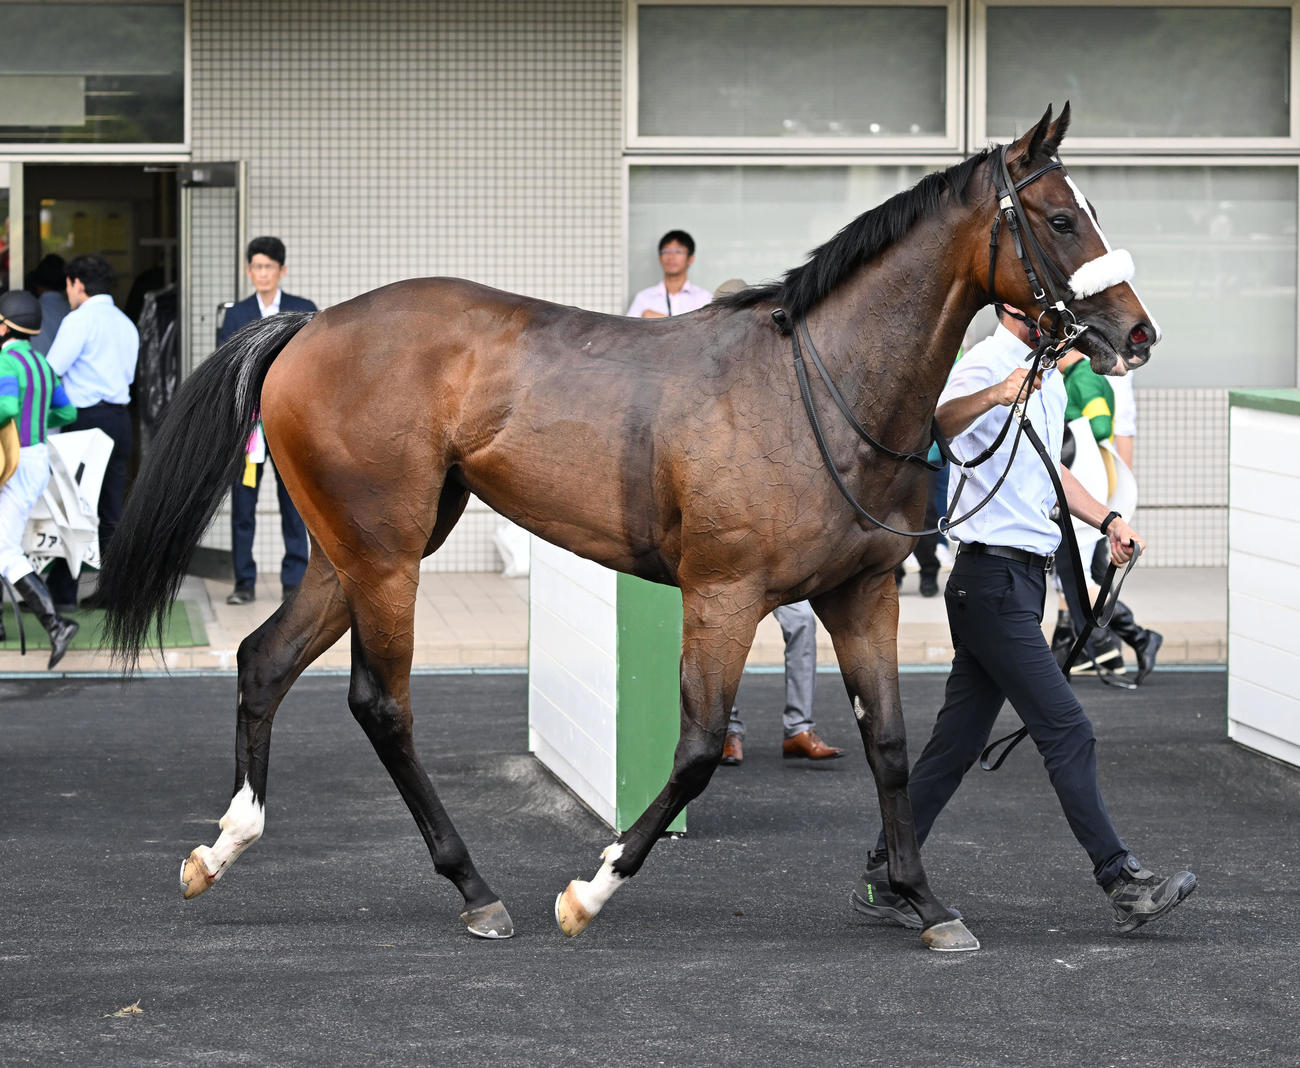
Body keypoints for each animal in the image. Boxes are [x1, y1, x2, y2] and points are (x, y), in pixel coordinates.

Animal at [100, 103, 1158, 952]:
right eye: (1061, 218)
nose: (1138, 334)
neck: (818, 392)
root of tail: (307, 329)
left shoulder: (859, 594)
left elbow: (895, 746)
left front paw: (924, 902)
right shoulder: (723, 595)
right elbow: (694, 752)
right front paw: (591, 888)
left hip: (351, 551)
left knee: (265, 661)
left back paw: (223, 845)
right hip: (387, 555)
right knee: (381, 704)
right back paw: (475, 886)